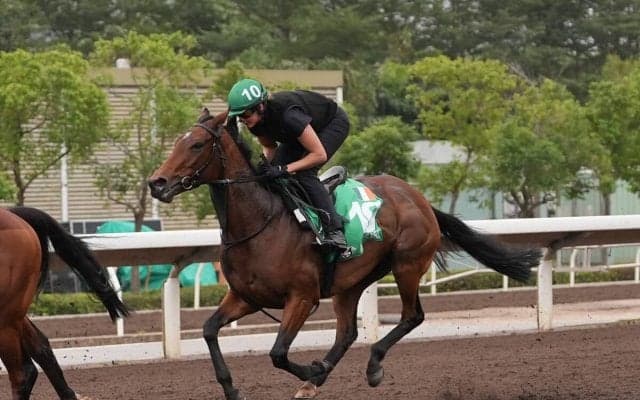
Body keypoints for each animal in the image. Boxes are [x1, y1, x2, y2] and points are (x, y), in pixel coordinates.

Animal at [148, 109, 542, 400]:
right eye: (177, 142)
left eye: (197, 144)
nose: (157, 183)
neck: (260, 223)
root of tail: (419, 198)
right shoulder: (245, 296)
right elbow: (209, 330)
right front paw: (233, 389)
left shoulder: (302, 298)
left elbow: (278, 353)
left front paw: (311, 368)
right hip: (350, 283)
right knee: (348, 332)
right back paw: (317, 380)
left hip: (407, 264)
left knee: (412, 316)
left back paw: (368, 367)